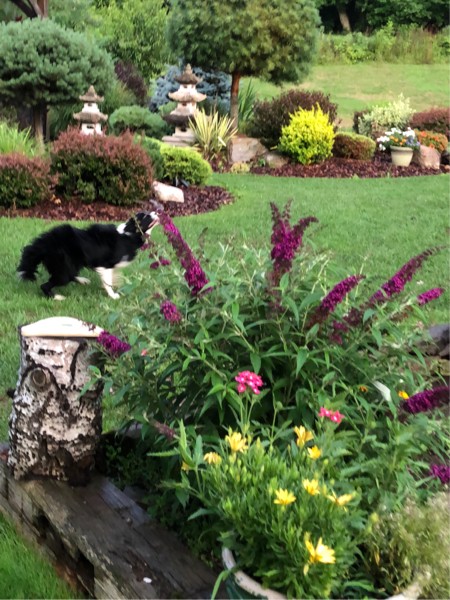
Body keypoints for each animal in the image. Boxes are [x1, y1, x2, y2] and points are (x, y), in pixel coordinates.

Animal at [17, 211, 160, 300]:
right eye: (145, 216)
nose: (157, 212)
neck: (128, 234)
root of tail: (44, 243)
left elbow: (113, 278)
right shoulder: (105, 265)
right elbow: (108, 282)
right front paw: (113, 295)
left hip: (70, 264)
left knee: (71, 275)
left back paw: (82, 280)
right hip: (63, 269)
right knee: (46, 285)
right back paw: (57, 297)